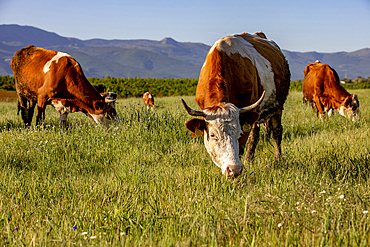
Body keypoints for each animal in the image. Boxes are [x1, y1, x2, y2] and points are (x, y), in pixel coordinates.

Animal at [181, 31, 290, 178]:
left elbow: (242, 146)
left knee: (275, 133)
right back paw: (250, 160)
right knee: (255, 135)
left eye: (239, 132)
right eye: (212, 135)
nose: (234, 169)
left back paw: (278, 159)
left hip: (277, 106)